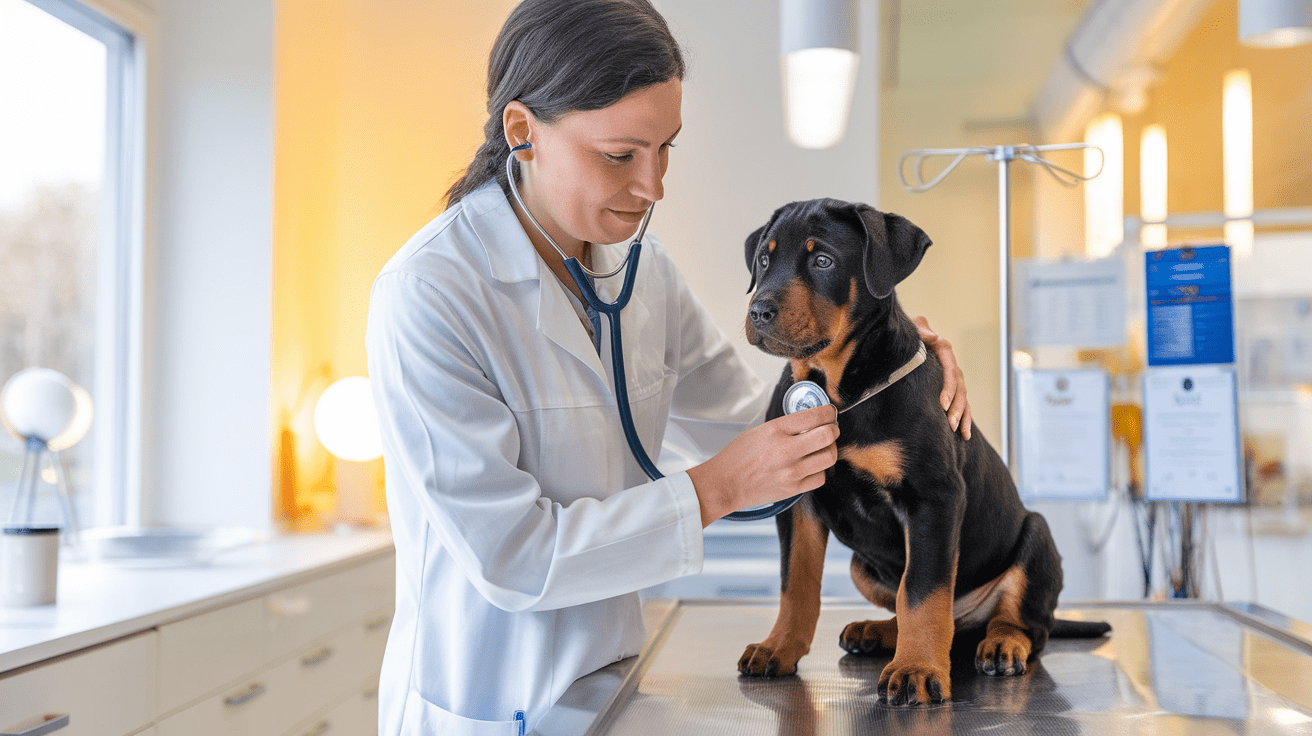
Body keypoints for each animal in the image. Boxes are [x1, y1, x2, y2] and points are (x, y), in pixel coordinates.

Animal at [739, 198, 1107, 703]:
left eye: (823, 261)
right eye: (763, 261)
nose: (758, 310)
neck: (839, 392)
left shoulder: (932, 497)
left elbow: (923, 589)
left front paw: (916, 669)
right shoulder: (799, 500)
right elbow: (796, 582)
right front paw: (778, 648)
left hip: (1036, 537)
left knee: (1027, 624)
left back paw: (1001, 643)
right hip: (862, 566)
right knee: (929, 614)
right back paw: (877, 632)